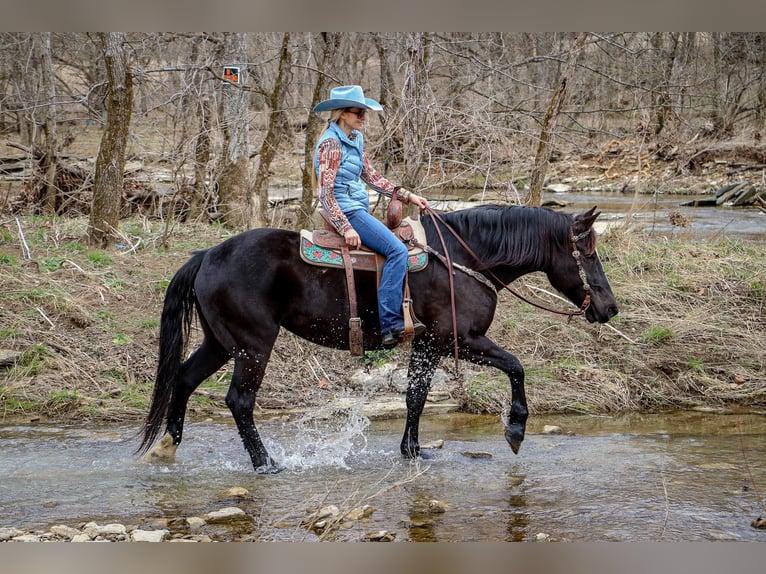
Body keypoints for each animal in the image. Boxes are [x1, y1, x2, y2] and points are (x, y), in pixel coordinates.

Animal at [136, 205, 616, 474]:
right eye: (589, 253)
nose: (609, 308)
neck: (465, 259)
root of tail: (206, 256)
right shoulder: (461, 338)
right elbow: (515, 366)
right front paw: (515, 429)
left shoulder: (428, 345)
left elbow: (415, 396)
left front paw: (413, 451)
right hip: (253, 346)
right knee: (239, 401)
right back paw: (266, 464)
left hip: (221, 342)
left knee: (183, 379)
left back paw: (167, 448)